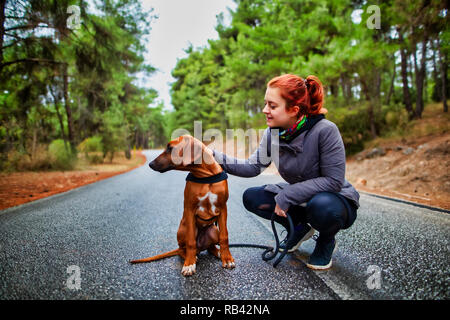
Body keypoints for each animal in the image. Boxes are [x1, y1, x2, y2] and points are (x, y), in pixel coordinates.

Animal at [129, 134, 236, 276]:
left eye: (170, 148)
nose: (150, 164)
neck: (205, 176)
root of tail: (201, 246)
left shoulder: (223, 208)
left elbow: (225, 237)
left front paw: (227, 258)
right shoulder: (189, 209)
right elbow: (190, 241)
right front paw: (189, 264)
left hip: (214, 230)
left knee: (210, 247)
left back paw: (218, 253)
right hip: (183, 229)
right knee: (182, 249)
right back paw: (191, 257)